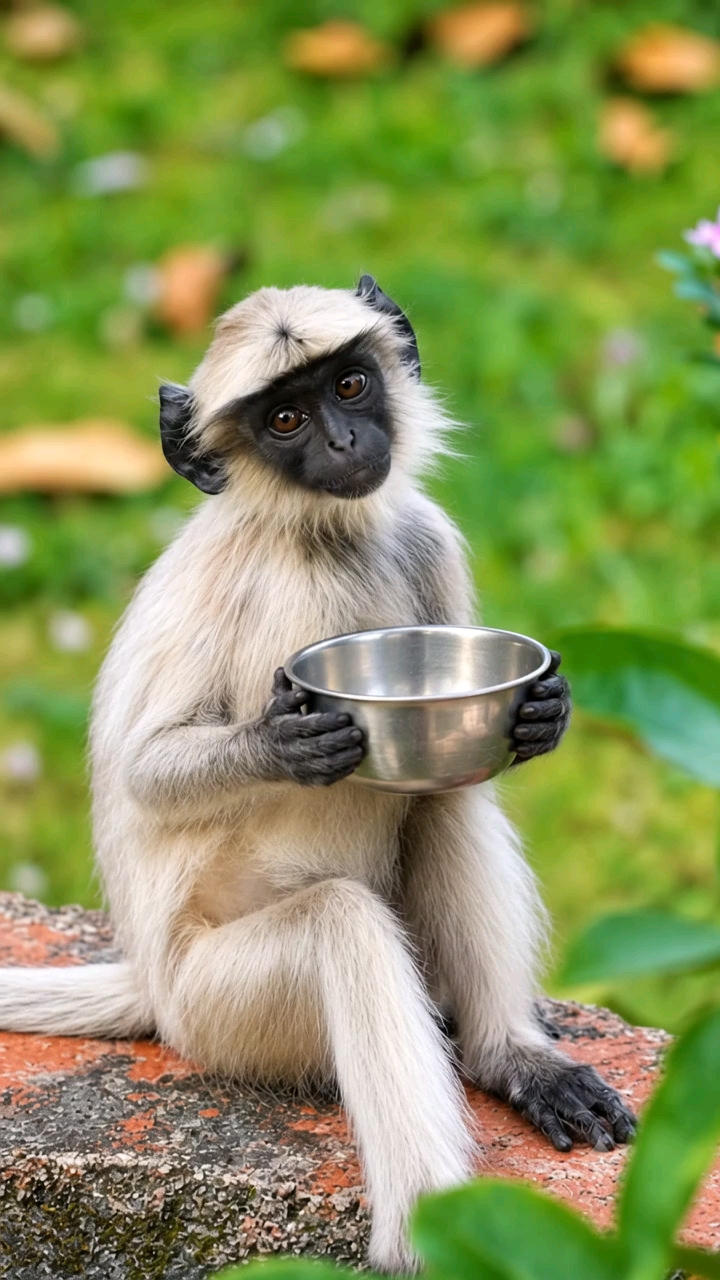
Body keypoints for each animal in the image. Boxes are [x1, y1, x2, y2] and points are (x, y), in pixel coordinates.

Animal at [0, 277, 635, 1273]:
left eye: (349, 386)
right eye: (286, 420)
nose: (342, 443)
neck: (322, 537)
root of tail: (153, 986)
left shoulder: (425, 537)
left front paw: (544, 711)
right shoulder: (276, 591)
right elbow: (143, 774)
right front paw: (285, 747)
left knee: (445, 797)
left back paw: (508, 1057)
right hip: (217, 1007)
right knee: (343, 923)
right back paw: (425, 1236)